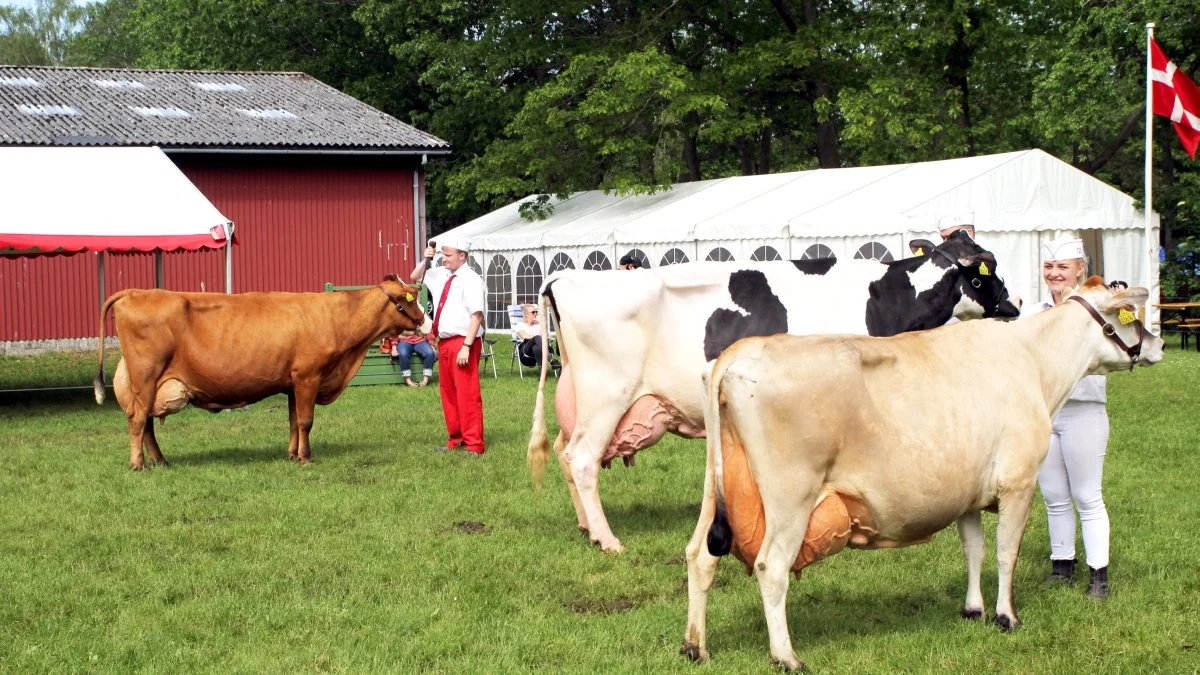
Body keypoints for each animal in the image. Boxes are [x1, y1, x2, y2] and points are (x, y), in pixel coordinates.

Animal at [94, 273, 432, 468]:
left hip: (148, 384)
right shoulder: (309, 376)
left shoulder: (294, 381)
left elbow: (294, 421)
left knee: (147, 423)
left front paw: (293, 454)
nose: (427, 322)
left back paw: (161, 461)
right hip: (146, 377)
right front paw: (306, 458)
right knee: (139, 421)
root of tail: (137, 292)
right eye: (411, 298)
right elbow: (306, 421)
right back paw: (138, 464)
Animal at [525, 228, 1012, 550]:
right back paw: (608, 540)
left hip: (580, 400)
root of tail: (564, 279)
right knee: (582, 459)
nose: (1016, 303)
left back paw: (587, 529)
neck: (882, 298)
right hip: (607, 395)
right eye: (985, 272)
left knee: (567, 455)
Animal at [686, 275, 1161, 667]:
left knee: (699, 556)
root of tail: (738, 352)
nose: (1157, 345)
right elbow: (1006, 551)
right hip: (791, 496)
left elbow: (975, 550)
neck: (1034, 362)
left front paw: (974, 609)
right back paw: (786, 657)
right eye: (1131, 314)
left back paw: (695, 647)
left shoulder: (966, 489)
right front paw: (1006, 616)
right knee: (771, 567)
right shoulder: (1019, 481)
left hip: (715, 487)